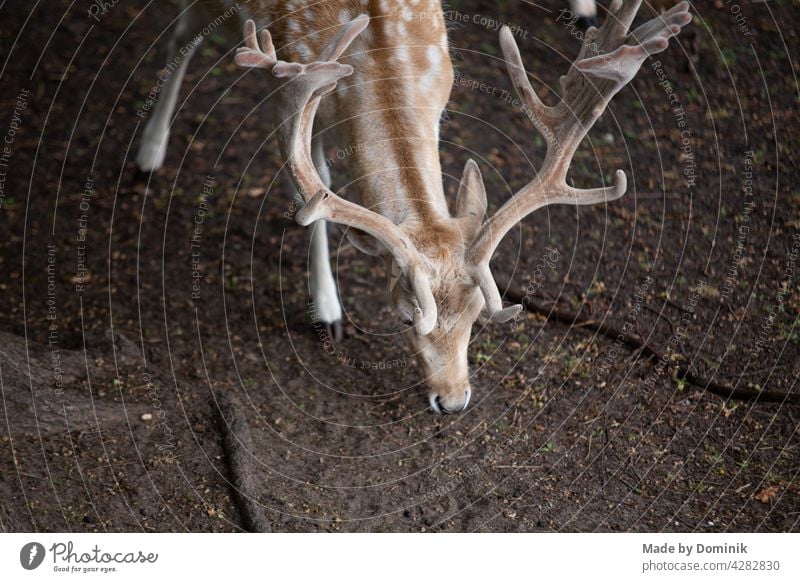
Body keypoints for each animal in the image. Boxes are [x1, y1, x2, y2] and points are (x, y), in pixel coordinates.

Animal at [136, 2, 688, 418]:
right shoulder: (290, 90)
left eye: (476, 315)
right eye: (404, 319)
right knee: (181, 31)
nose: (454, 401)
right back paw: (149, 149)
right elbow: (315, 186)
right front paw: (327, 309)